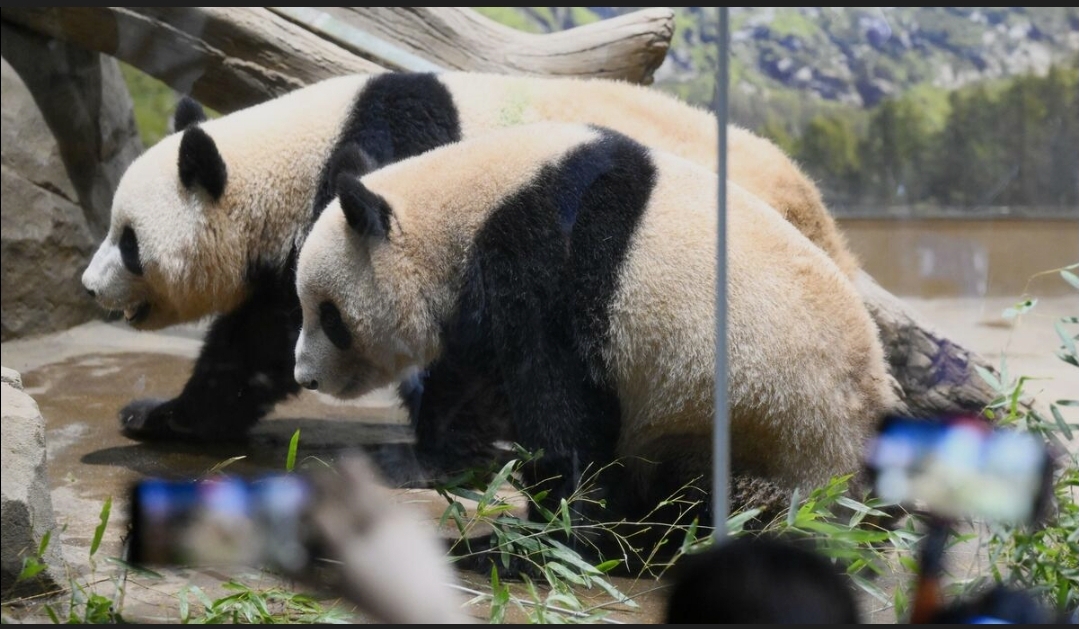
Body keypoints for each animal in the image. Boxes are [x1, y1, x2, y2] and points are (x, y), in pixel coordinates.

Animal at [80, 70, 860, 447]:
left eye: (128, 240)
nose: (87, 287)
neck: (292, 154)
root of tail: (813, 202)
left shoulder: (386, 169)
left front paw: (464, 434)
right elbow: (255, 339)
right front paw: (164, 417)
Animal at [292, 122, 902, 530]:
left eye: (330, 316)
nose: (305, 378)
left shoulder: (544, 257)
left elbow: (559, 403)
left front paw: (551, 522)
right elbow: (473, 382)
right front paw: (432, 456)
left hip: (770, 431)